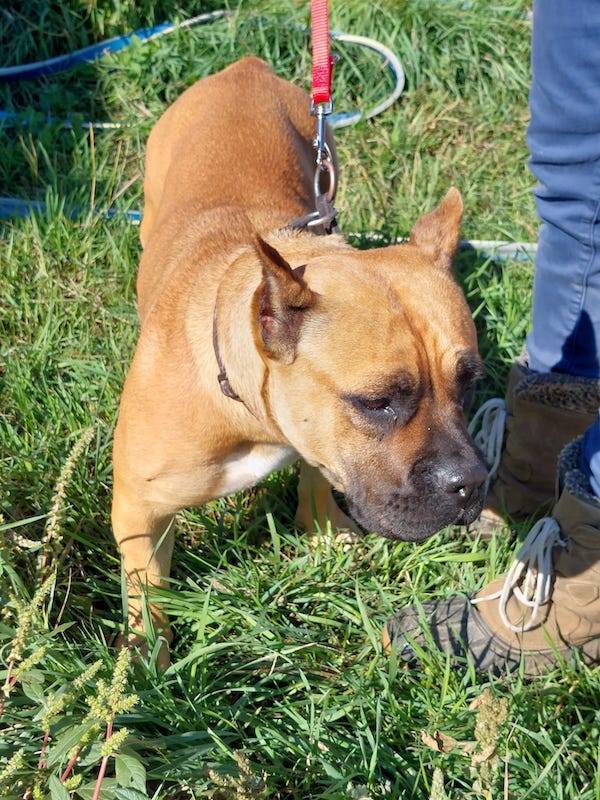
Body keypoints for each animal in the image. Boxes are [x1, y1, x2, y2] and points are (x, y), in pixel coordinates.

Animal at [112, 56, 487, 666]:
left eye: (470, 384)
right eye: (378, 402)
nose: (472, 483)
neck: (246, 409)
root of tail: (243, 67)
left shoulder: (317, 438)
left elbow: (317, 471)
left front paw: (324, 530)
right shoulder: (138, 511)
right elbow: (146, 591)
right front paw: (145, 661)